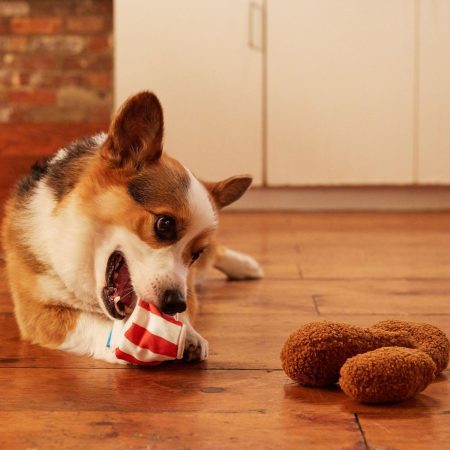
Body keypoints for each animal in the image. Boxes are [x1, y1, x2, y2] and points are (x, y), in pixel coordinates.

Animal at [1, 93, 262, 364]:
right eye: (164, 224)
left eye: (196, 253)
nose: (175, 304)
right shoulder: (35, 312)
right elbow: (89, 322)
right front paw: (123, 339)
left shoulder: (188, 286)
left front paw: (189, 334)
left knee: (217, 253)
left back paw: (247, 266)